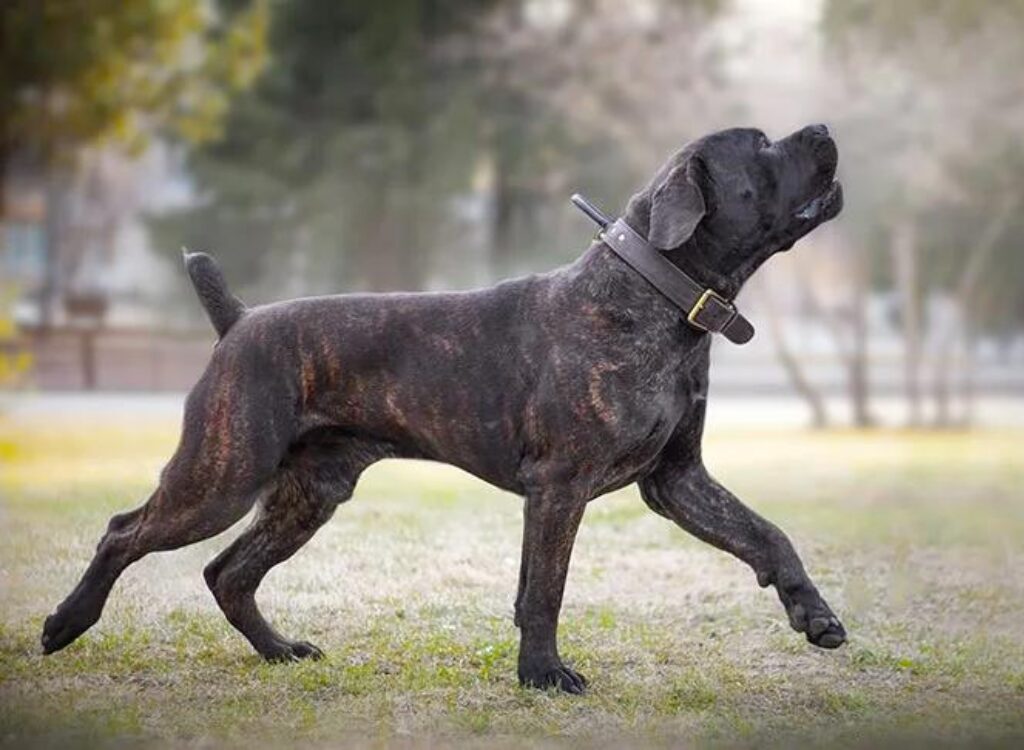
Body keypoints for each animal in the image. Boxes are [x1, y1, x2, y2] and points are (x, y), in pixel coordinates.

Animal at [41, 121, 847, 692]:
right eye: (761, 145)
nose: (821, 128)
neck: (657, 291)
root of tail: (238, 320)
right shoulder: (561, 488)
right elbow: (545, 590)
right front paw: (543, 675)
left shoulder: (676, 481)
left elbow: (767, 536)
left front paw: (814, 614)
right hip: (219, 479)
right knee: (125, 532)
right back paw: (65, 623)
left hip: (308, 494)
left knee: (228, 573)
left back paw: (278, 651)